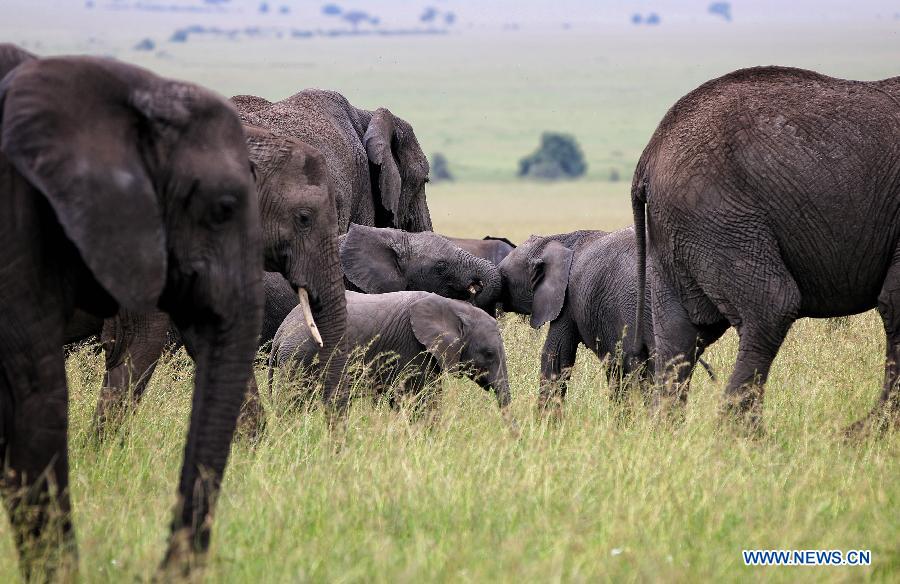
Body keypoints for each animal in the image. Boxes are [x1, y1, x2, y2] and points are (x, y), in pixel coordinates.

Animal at [270, 290, 510, 410]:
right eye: (489, 354)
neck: (455, 306)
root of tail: (280, 332)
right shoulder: (412, 347)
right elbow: (420, 399)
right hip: (300, 357)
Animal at [628, 66, 900, 434]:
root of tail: (649, 154)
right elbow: (896, 304)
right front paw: (867, 436)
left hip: (677, 231)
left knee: (680, 335)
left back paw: (667, 434)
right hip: (720, 215)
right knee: (772, 306)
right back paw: (747, 438)